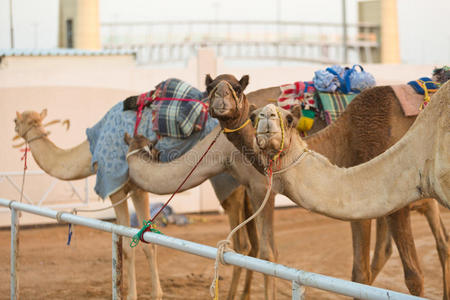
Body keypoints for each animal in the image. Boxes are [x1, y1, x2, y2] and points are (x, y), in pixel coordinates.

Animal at [207, 74, 450, 298]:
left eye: (288, 118)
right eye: (253, 117)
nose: (221, 97)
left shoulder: (395, 198)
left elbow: (413, 276)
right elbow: (359, 274)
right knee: (438, 243)